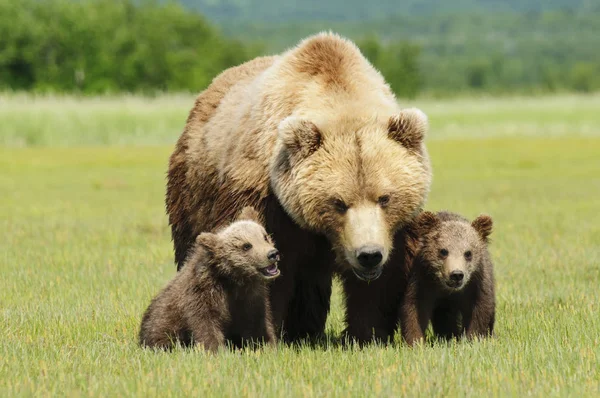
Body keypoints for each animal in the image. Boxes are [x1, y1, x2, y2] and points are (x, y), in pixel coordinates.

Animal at [139, 208, 280, 352]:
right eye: (246, 245)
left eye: (264, 236)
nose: (272, 254)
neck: (234, 279)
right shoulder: (203, 293)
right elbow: (206, 324)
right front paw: (216, 349)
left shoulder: (252, 298)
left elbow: (257, 324)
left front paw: (268, 345)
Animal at [165, 32, 432, 344]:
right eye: (338, 202)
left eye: (385, 197)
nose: (368, 255)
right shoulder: (265, 198)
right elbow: (262, 263)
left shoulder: (394, 229)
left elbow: (383, 282)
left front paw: (367, 334)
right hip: (191, 189)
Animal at [400, 211, 494, 346]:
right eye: (443, 251)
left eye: (468, 253)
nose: (456, 274)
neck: (447, 289)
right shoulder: (423, 280)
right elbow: (414, 308)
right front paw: (415, 342)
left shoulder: (476, 283)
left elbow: (479, 310)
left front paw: (471, 339)